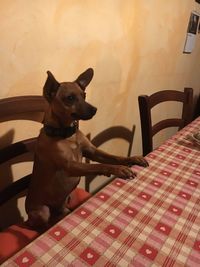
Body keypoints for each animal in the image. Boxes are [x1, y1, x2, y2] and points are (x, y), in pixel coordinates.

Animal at [25, 68, 148, 229]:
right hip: (42, 212)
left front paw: (132, 159)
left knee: (62, 209)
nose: (95, 109)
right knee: (43, 222)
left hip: (67, 198)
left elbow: (113, 157)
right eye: (70, 98)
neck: (68, 135)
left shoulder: (92, 152)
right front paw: (120, 169)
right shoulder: (70, 166)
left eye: (84, 95)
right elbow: (100, 166)